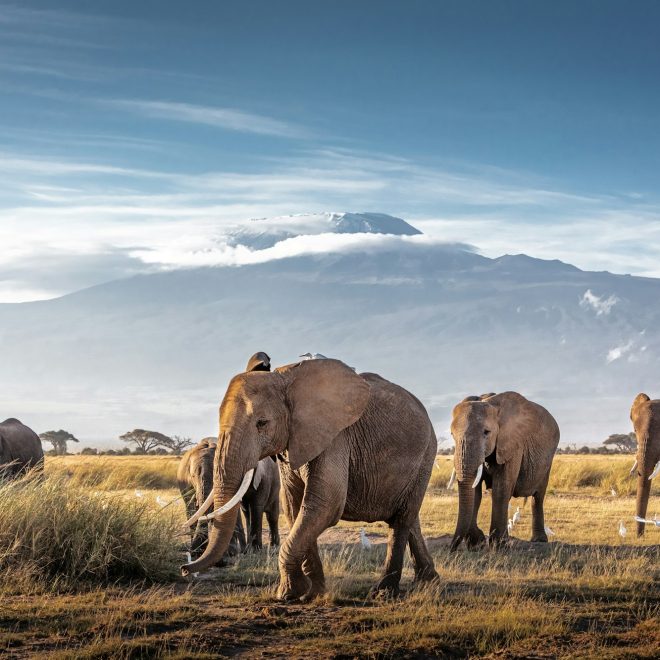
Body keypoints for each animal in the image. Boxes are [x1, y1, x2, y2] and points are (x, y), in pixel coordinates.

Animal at [180, 358, 438, 600]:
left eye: (262, 423)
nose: (184, 568)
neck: (285, 378)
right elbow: (295, 506)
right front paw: (313, 593)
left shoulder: (335, 437)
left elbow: (325, 504)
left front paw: (289, 593)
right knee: (408, 517)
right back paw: (428, 581)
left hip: (426, 454)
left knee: (402, 520)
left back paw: (384, 593)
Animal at [448, 390, 556, 548]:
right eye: (452, 435)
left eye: (486, 432)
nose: (451, 548)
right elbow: (475, 492)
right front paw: (477, 543)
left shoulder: (513, 445)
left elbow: (501, 489)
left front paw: (499, 544)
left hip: (547, 461)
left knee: (538, 497)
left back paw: (539, 540)